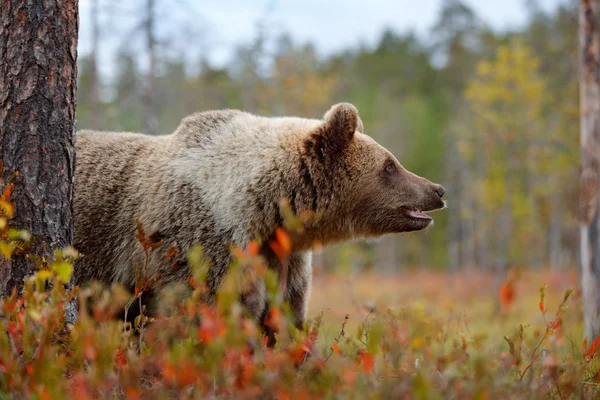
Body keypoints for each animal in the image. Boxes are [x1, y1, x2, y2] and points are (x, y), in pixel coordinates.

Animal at [72, 104, 446, 332]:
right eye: (389, 165)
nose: (438, 189)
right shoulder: (199, 248)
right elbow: (195, 317)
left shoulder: (285, 261)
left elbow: (282, 320)